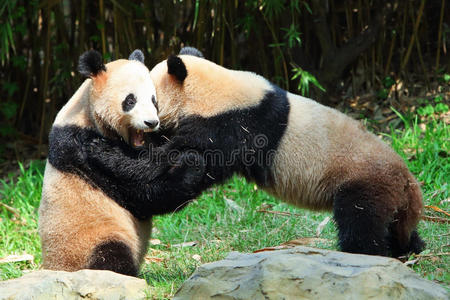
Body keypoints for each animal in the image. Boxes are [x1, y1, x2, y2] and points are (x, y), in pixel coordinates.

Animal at [38, 49, 206, 276]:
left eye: (154, 100)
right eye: (130, 100)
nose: (151, 122)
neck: (87, 114)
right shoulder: (78, 148)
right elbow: (140, 195)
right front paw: (192, 165)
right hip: (88, 241)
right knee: (109, 259)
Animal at [84, 47, 426, 258]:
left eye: (151, 99)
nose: (148, 123)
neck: (215, 91)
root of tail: (408, 183)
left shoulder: (231, 129)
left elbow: (167, 163)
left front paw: (100, 149)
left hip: (365, 181)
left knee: (361, 221)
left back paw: (365, 253)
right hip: (393, 199)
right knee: (396, 228)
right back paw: (410, 247)